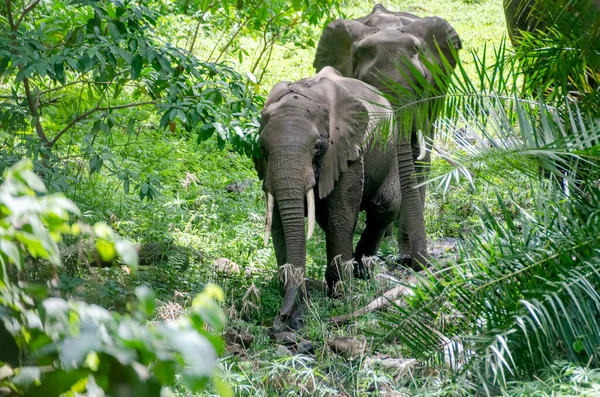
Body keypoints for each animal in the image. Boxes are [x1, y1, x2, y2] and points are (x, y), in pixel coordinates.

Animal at [253, 66, 412, 330]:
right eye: (263, 149)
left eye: (318, 148)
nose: (281, 318)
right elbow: (279, 223)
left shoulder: (347, 154)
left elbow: (341, 219)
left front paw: (339, 297)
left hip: (389, 147)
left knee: (385, 207)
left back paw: (361, 274)